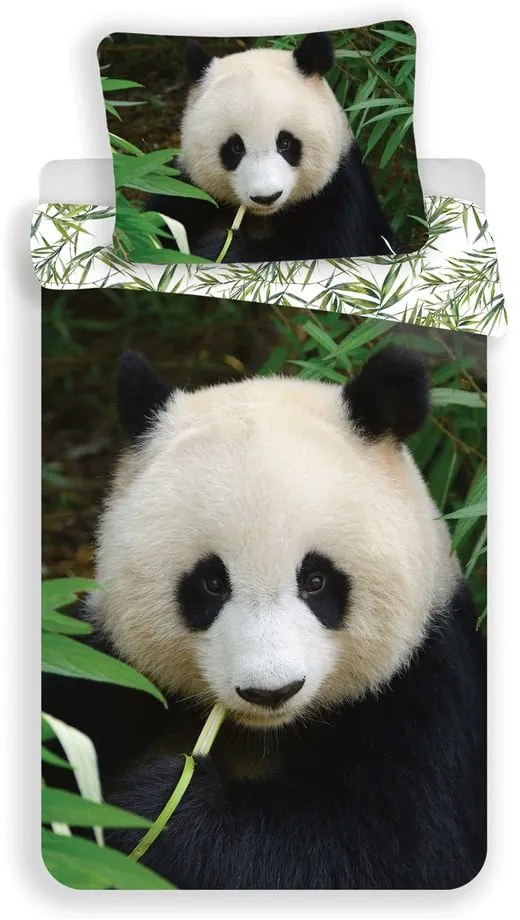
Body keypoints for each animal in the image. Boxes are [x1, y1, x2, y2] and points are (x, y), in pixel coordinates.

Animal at [43, 345, 486, 890]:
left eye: (316, 580)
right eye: (212, 583)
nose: (271, 691)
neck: (263, 732)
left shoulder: (428, 688)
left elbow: (383, 850)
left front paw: (155, 806)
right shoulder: (108, 664)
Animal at [146, 33, 397, 262]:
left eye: (285, 143)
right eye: (235, 147)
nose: (266, 197)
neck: (264, 217)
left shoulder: (340, 194)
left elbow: (319, 251)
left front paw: (220, 248)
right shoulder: (186, 189)